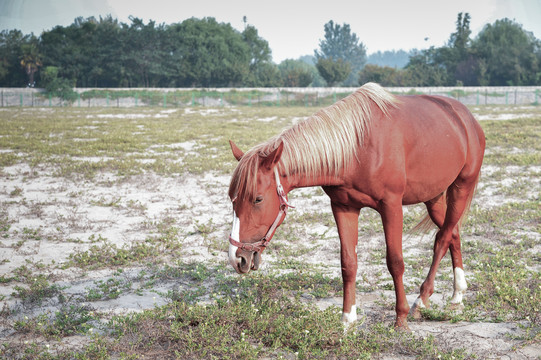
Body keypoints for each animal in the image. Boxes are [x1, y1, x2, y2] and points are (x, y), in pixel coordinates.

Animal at [227, 82, 486, 330]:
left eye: (257, 199)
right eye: (232, 198)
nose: (237, 259)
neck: (356, 148)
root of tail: (465, 117)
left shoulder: (391, 206)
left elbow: (395, 262)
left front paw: (400, 320)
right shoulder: (343, 207)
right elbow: (348, 263)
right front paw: (348, 319)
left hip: (461, 187)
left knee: (442, 238)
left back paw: (422, 301)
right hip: (434, 197)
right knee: (453, 233)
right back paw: (457, 295)